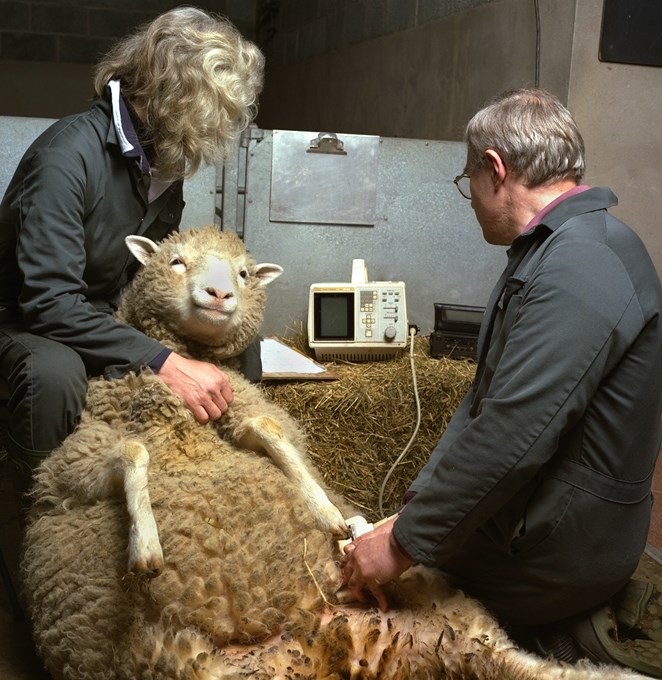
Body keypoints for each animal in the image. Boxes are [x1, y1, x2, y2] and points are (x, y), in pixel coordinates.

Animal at [20, 227, 648, 680]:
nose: (220, 294)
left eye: (243, 272)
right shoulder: (72, 463)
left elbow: (272, 431)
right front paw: (146, 548)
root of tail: (316, 630)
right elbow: (132, 450)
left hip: (449, 618)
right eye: (175, 262)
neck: (182, 416)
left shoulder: (241, 412)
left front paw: (330, 513)